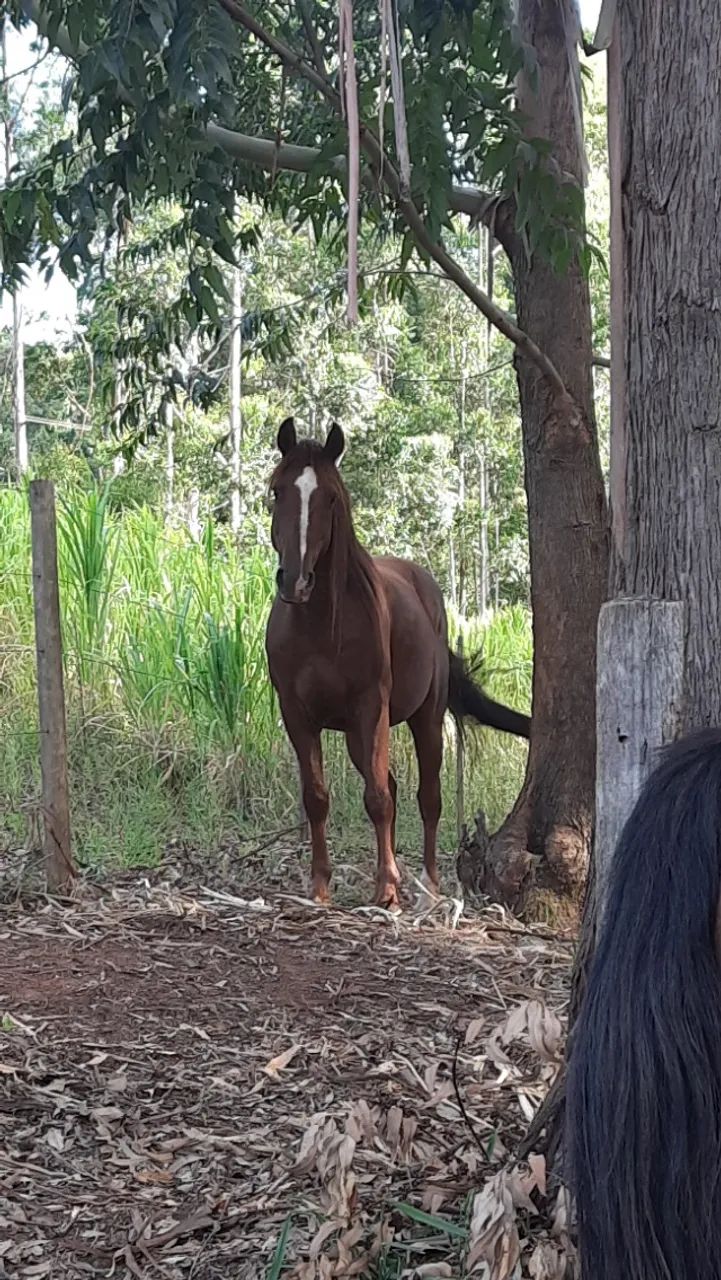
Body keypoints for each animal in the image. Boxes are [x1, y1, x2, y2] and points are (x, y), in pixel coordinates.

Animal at [264, 417, 530, 910]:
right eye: (277, 490)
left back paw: (427, 882)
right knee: (391, 784)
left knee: (427, 797)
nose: (295, 581)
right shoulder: (296, 713)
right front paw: (320, 886)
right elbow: (318, 797)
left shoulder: (372, 707)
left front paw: (386, 888)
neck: (319, 625)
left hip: (423, 718)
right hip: (356, 735)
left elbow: (379, 799)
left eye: (331, 497)